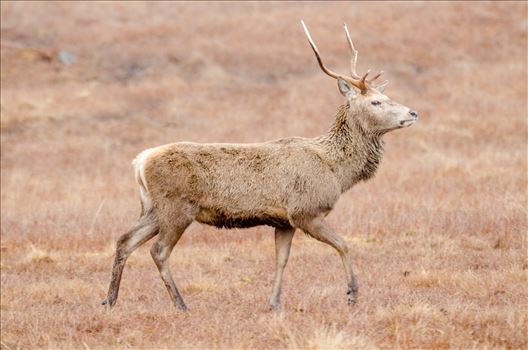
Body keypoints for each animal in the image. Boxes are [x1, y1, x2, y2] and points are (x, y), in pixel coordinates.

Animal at [102, 21, 416, 312]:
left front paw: (274, 303)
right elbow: (343, 243)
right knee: (158, 251)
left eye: (387, 97)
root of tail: (140, 161)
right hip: (177, 207)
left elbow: (282, 259)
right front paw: (352, 293)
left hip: (154, 209)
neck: (336, 171)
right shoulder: (306, 210)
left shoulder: (284, 221)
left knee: (125, 240)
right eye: (376, 102)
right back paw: (180, 304)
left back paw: (110, 300)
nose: (413, 112)